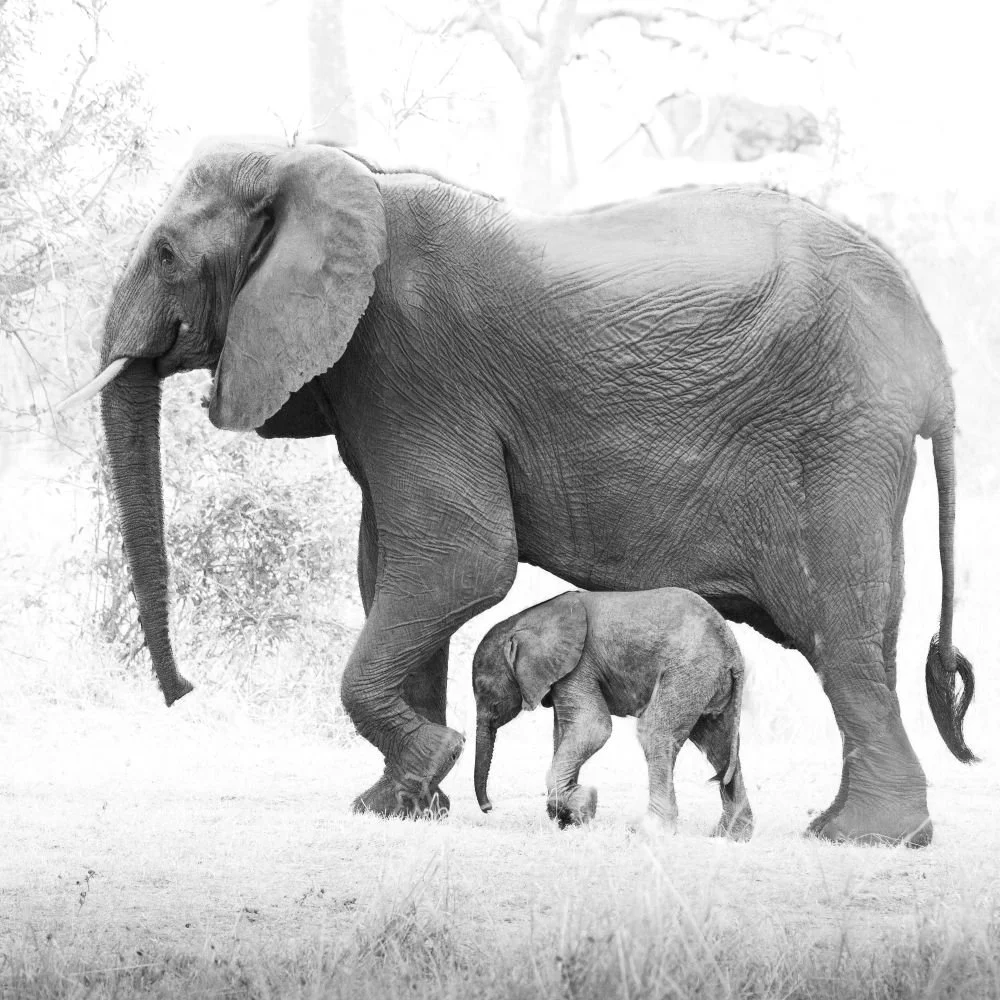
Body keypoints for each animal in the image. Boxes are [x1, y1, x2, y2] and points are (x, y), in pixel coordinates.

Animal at [472, 588, 753, 839]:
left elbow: (593, 728)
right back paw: (730, 836)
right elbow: (564, 733)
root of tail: (734, 653)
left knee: (655, 733)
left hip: (689, 671)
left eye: (483, 689)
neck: (525, 619)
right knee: (718, 746)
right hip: (708, 681)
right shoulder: (562, 675)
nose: (488, 807)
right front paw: (568, 815)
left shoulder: (578, 666)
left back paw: (648, 832)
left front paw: (584, 805)